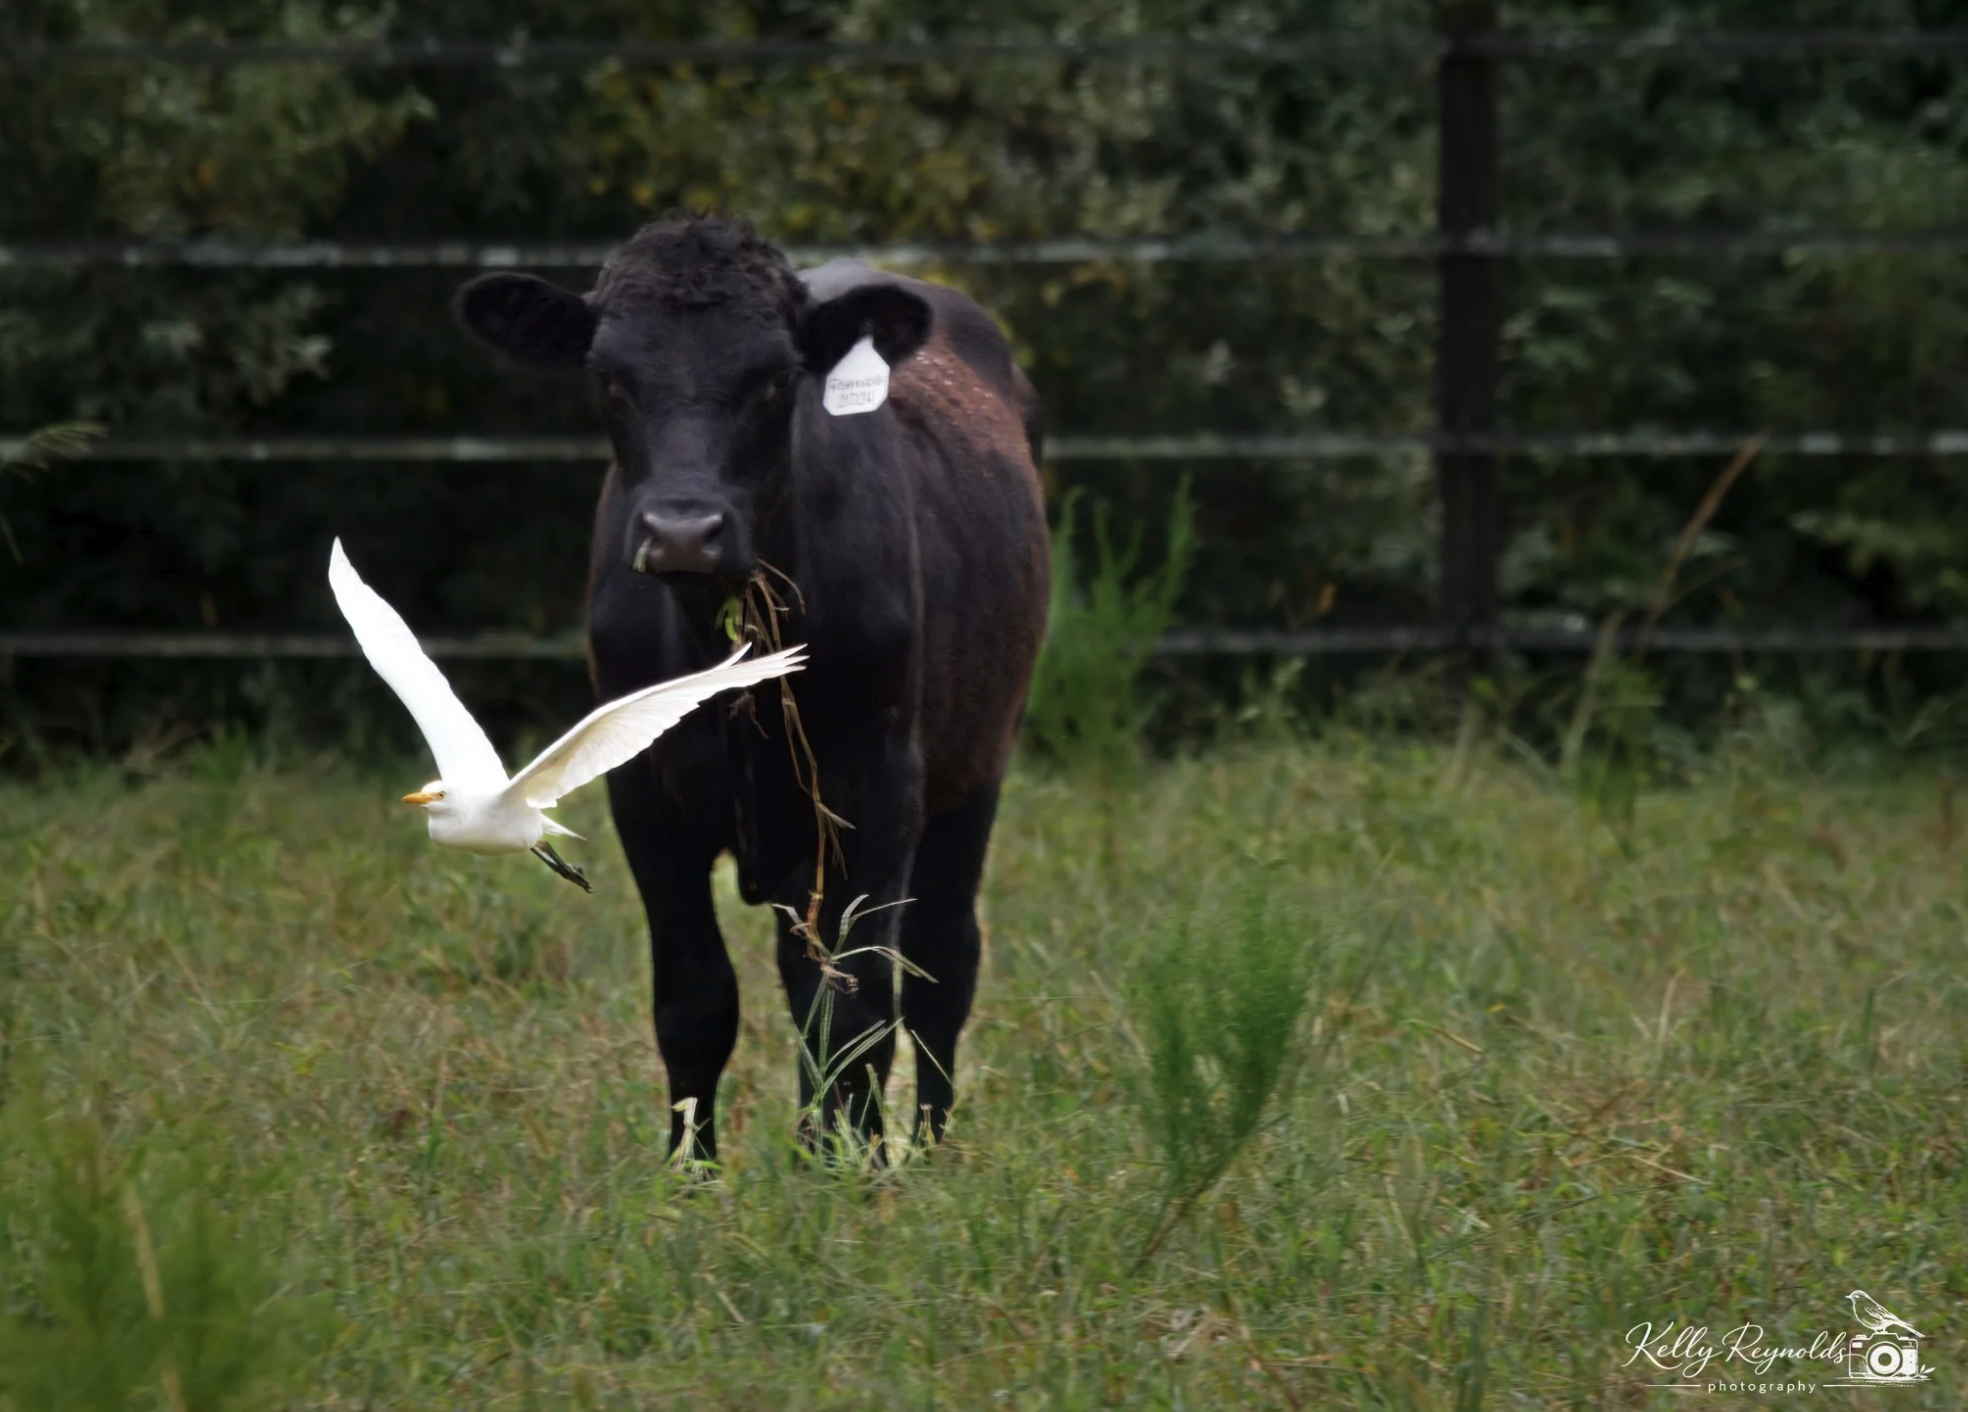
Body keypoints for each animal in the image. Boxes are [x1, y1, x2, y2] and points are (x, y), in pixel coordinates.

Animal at [452, 214, 1049, 1164]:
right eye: (609, 378)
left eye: (775, 377)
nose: (682, 531)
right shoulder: (645, 797)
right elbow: (697, 1001)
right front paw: (691, 1177)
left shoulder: (878, 783)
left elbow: (856, 1008)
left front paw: (852, 1173)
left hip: (979, 759)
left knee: (942, 961)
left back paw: (926, 1152)